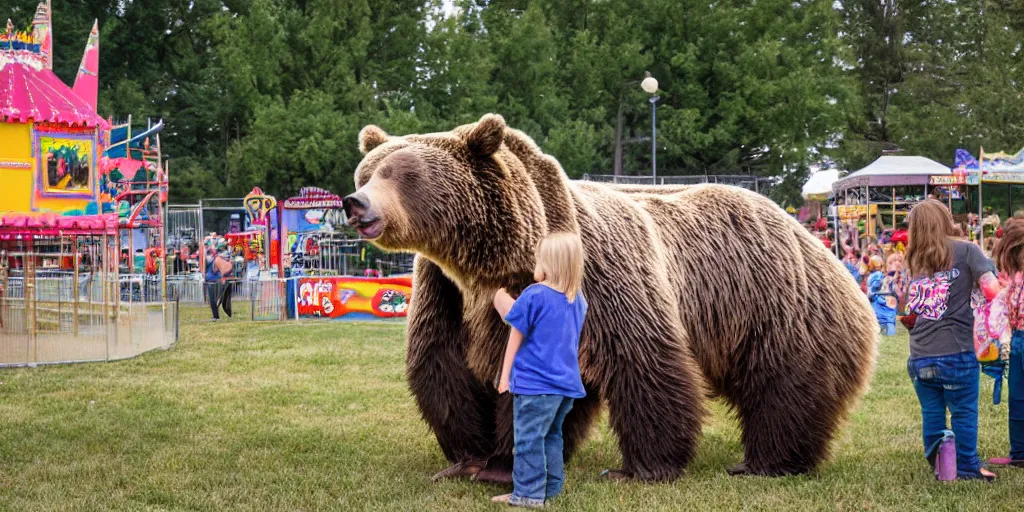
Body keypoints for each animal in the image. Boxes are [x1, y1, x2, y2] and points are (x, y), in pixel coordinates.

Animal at [346, 114, 880, 481]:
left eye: (398, 173)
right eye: (366, 172)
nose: (354, 203)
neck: (495, 260)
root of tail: (818, 244)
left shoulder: (601, 278)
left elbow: (642, 360)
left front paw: (639, 468)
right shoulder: (444, 290)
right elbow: (442, 365)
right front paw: (471, 457)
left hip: (776, 307)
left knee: (784, 389)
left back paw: (765, 462)